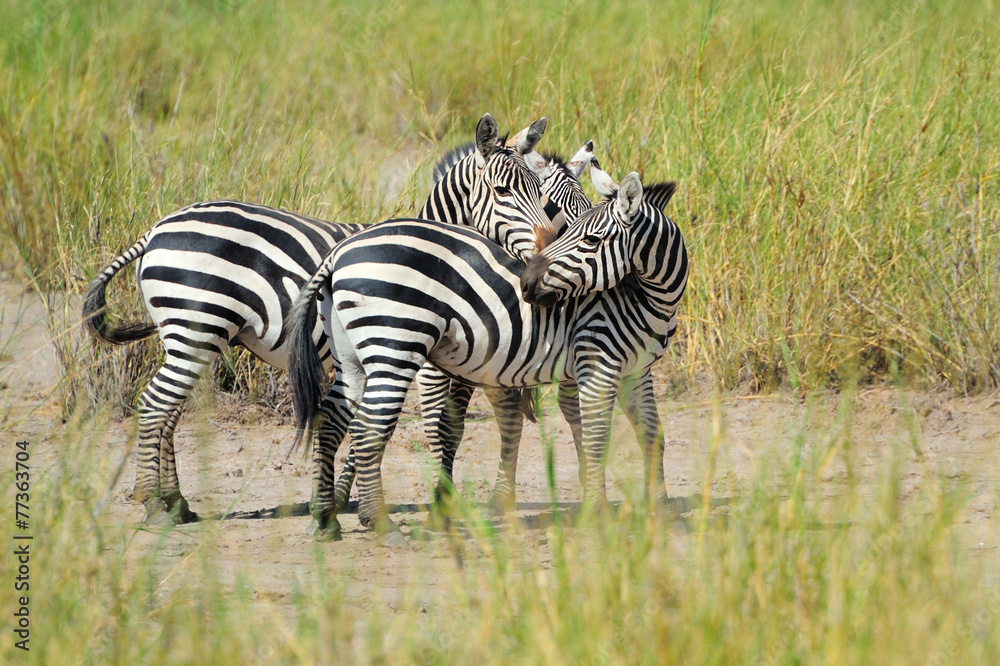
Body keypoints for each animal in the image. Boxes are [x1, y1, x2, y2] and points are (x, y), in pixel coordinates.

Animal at [82, 113, 555, 524]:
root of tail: (155, 229)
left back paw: (176, 502)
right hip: (195, 329)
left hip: (189, 337)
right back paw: (154, 503)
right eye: (502, 192)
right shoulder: (421, 360)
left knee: (168, 412)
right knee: (156, 405)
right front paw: (428, 502)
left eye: (540, 193)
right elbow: (437, 428)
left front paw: (340, 497)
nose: (543, 257)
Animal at [286, 170, 688, 540]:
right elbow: (595, 439)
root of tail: (339, 251)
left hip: (351, 357)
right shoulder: (597, 359)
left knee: (331, 419)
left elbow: (652, 435)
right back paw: (380, 523)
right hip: (395, 343)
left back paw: (325, 520)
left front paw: (661, 508)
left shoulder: (637, 370)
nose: (526, 284)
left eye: (591, 239)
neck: (647, 297)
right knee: (369, 427)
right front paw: (599, 513)